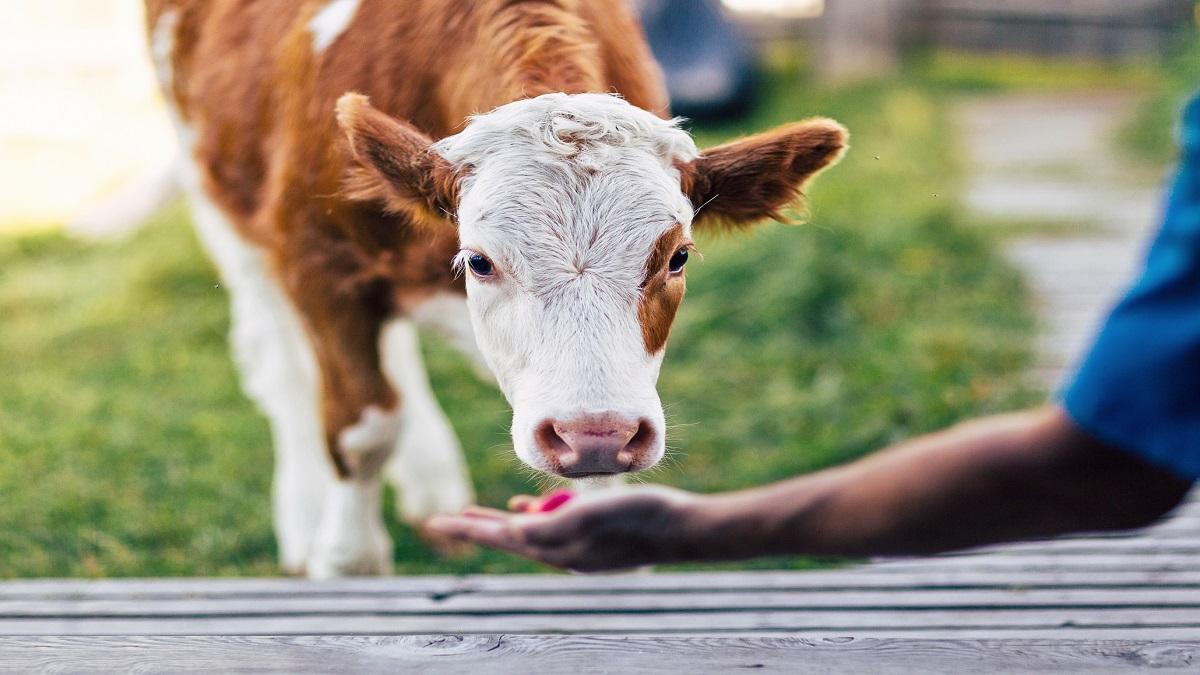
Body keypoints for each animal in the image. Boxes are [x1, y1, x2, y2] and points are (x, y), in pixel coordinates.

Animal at [145, 0, 849, 576]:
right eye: (479, 261)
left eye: (677, 257)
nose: (595, 434)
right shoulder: (317, 259)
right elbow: (362, 428)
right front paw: (346, 560)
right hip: (217, 194)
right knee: (282, 364)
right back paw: (303, 513)